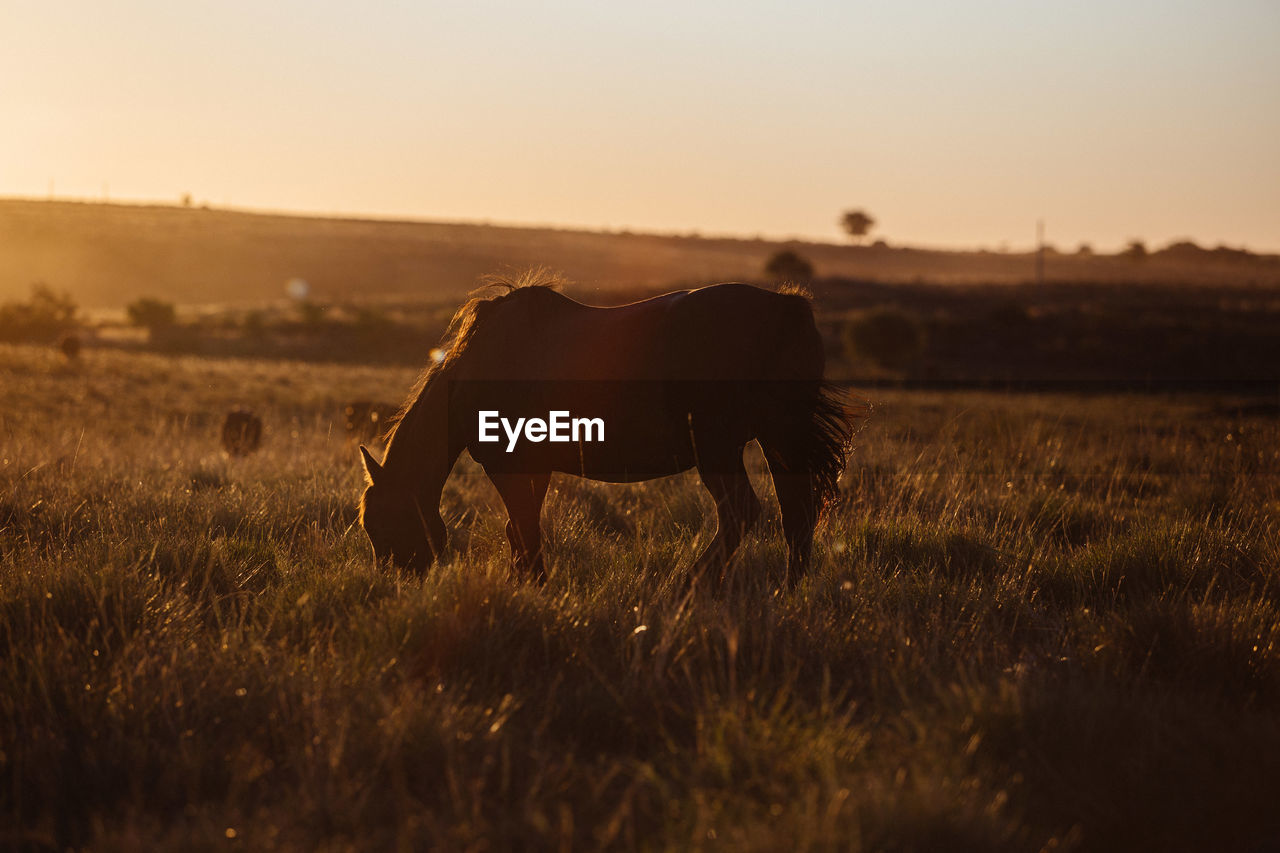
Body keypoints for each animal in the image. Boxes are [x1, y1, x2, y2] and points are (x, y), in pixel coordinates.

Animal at [360, 275, 860, 589]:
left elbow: (521, 528)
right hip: (781, 439)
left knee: (741, 513)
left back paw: (690, 585)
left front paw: (531, 587)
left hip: (719, 447)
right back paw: (788, 592)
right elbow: (521, 528)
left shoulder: (511, 466)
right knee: (797, 514)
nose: (397, 583)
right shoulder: (535, 467)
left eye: (378, 523)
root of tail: (787, 307)